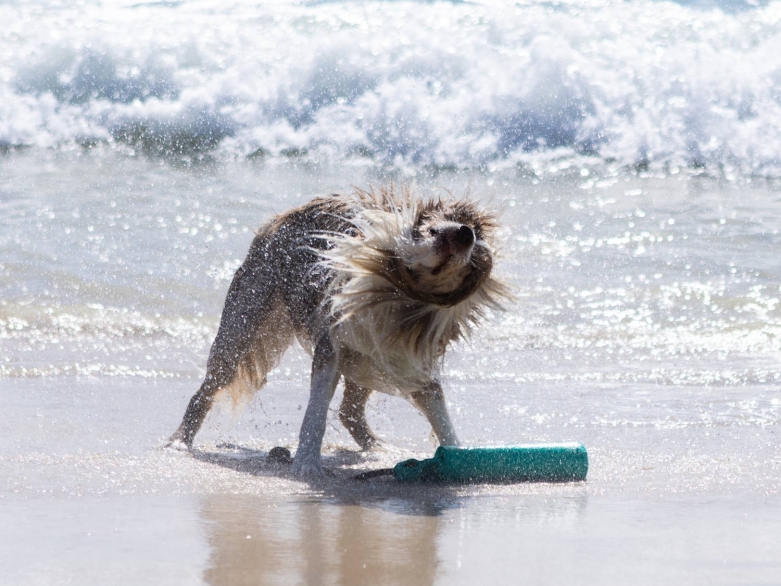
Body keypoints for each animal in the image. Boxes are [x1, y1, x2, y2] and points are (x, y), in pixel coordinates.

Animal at [167, 185, 502, 472]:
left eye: (472, 259)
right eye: (431, 230)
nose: (465, 234)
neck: (398, 298)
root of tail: (279, 218)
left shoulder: (407, 356)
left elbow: (440, 412)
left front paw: (458, 458)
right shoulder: (332, 345)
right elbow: (315, 411)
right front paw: (306, 464)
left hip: (367, 360)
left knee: (349, 410)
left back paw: (378, 447)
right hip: (243, 325)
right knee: (207, 388)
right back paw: (179, 441)